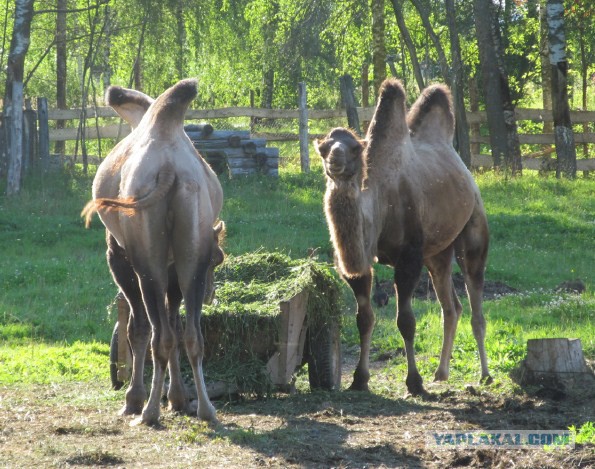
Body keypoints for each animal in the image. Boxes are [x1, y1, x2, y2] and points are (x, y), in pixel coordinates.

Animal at [82, 79, 225, 424]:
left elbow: (137, 329)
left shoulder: (118, 256)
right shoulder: (178, 267)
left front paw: (134, 399)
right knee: (191, 335)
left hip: (145, 259)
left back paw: (148, 412)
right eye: (219, 258)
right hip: (190, 247)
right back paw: (205, 409)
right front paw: (177, 398)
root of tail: (170, 169)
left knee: (156, 333)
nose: (212, 292)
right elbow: (175, 325)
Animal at [318, 78, 492, 394]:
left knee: (475, 302)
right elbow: (364, 318)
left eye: (354, 149)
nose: (335, 159)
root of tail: (464, 170)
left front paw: (414, 382)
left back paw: (485, 374)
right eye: (324, 147)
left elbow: (406, 321)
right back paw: (441, 372)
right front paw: (359, 379)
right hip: (437, 252)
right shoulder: (357, 264)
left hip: (472, 229)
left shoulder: (409, 256)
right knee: (451, 307)